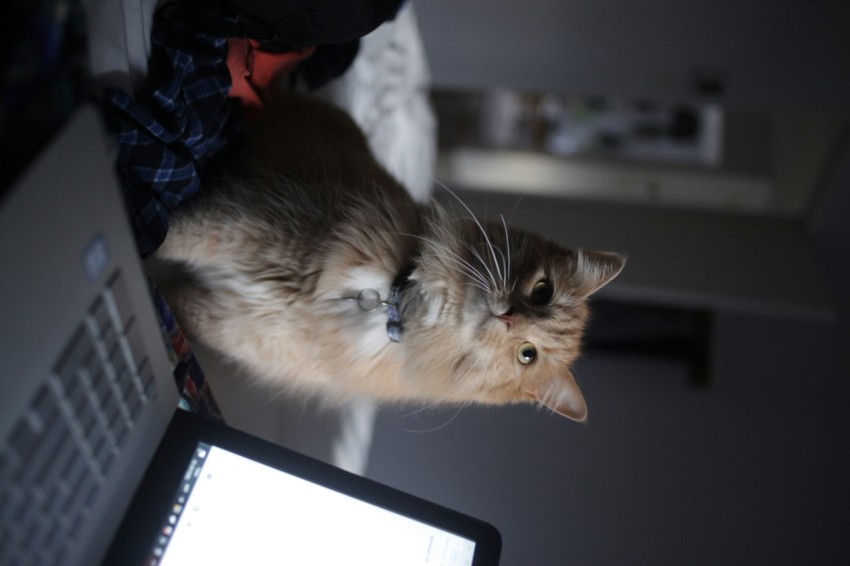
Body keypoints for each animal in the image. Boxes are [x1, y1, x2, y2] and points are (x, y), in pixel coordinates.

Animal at [151, 92, 624, 422]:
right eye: (542, 291)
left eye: (528, 355)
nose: (509, 318)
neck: (384, 300)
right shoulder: (242, 226)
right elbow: (175, 235)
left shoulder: (229, 323)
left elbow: (173, 304)